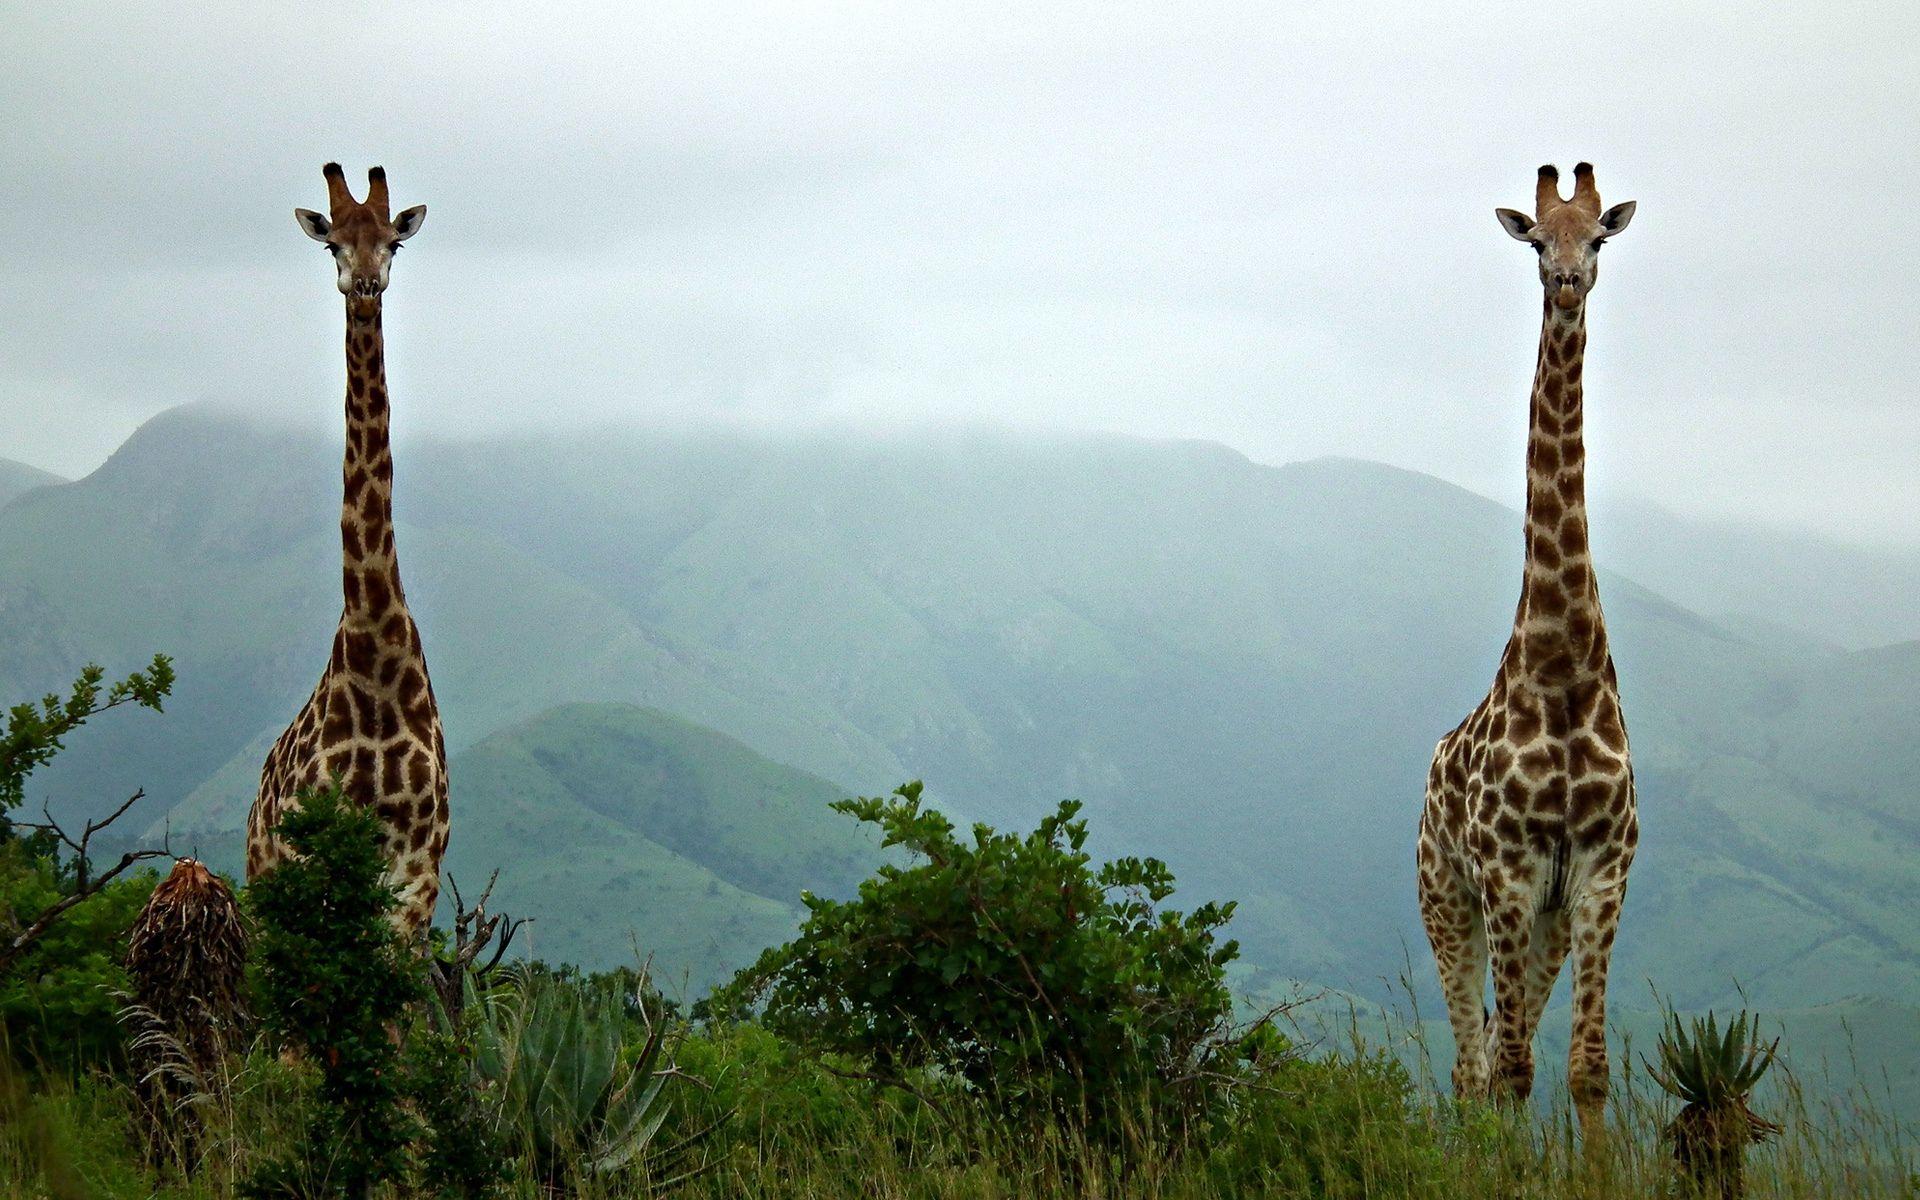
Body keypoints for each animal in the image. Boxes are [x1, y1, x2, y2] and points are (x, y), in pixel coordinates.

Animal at [245, 162, 447, 941]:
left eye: (394, 242)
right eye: (332, 242)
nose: (364, 284)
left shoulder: (417, 874)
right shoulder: (313, 863)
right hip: (262, 880)